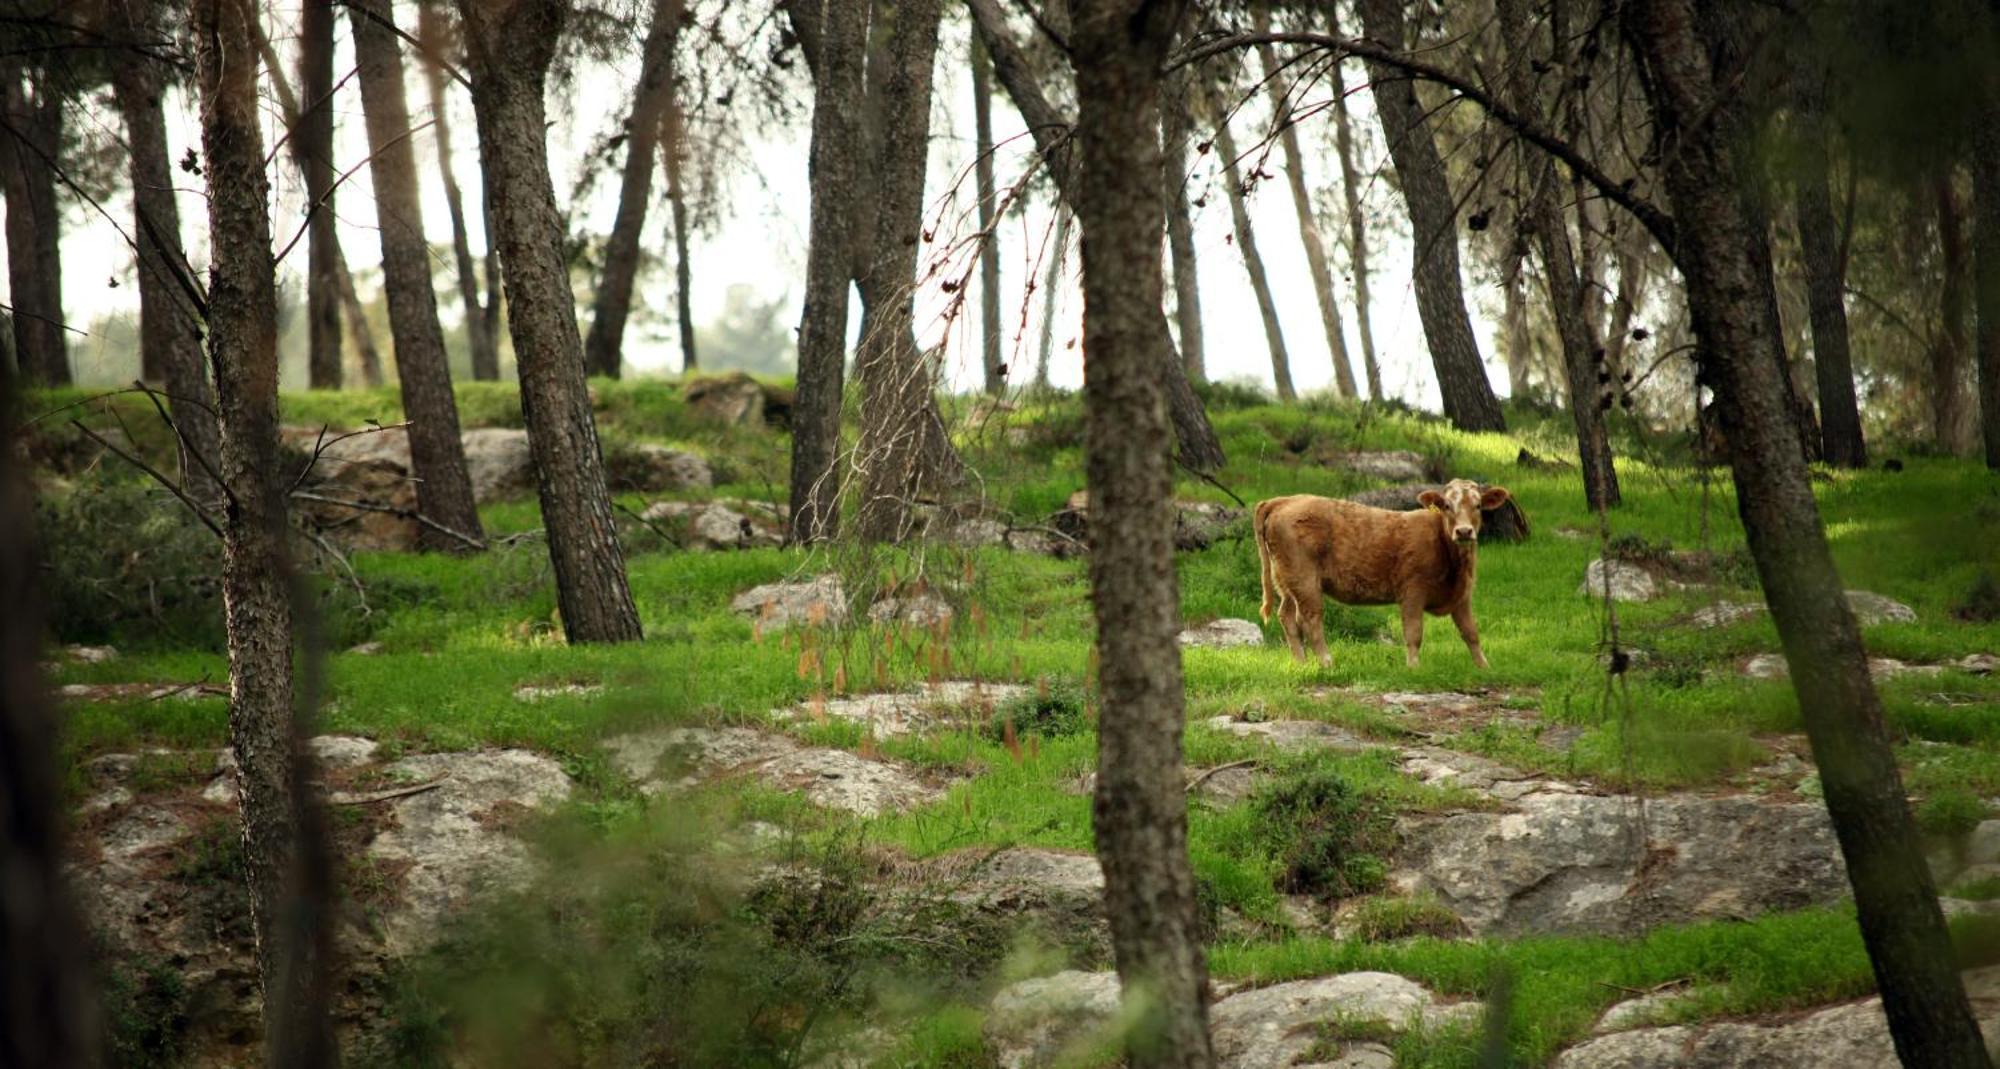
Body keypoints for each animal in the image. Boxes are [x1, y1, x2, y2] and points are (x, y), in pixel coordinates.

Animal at [1248, 484, 1512, 672]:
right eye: (1447, 505)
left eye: (1478, 505)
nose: (1464, 531)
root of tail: (1283, 500)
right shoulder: (1412, 592)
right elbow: (1414, 633)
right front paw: (1414, 667)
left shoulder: (1462, 596)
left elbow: (1471, 633)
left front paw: (1484, 667)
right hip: (1304, 580)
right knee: (1310, 619)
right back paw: (1326, 662)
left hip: (1286, 581)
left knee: (1287, 617)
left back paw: (1301, 662)